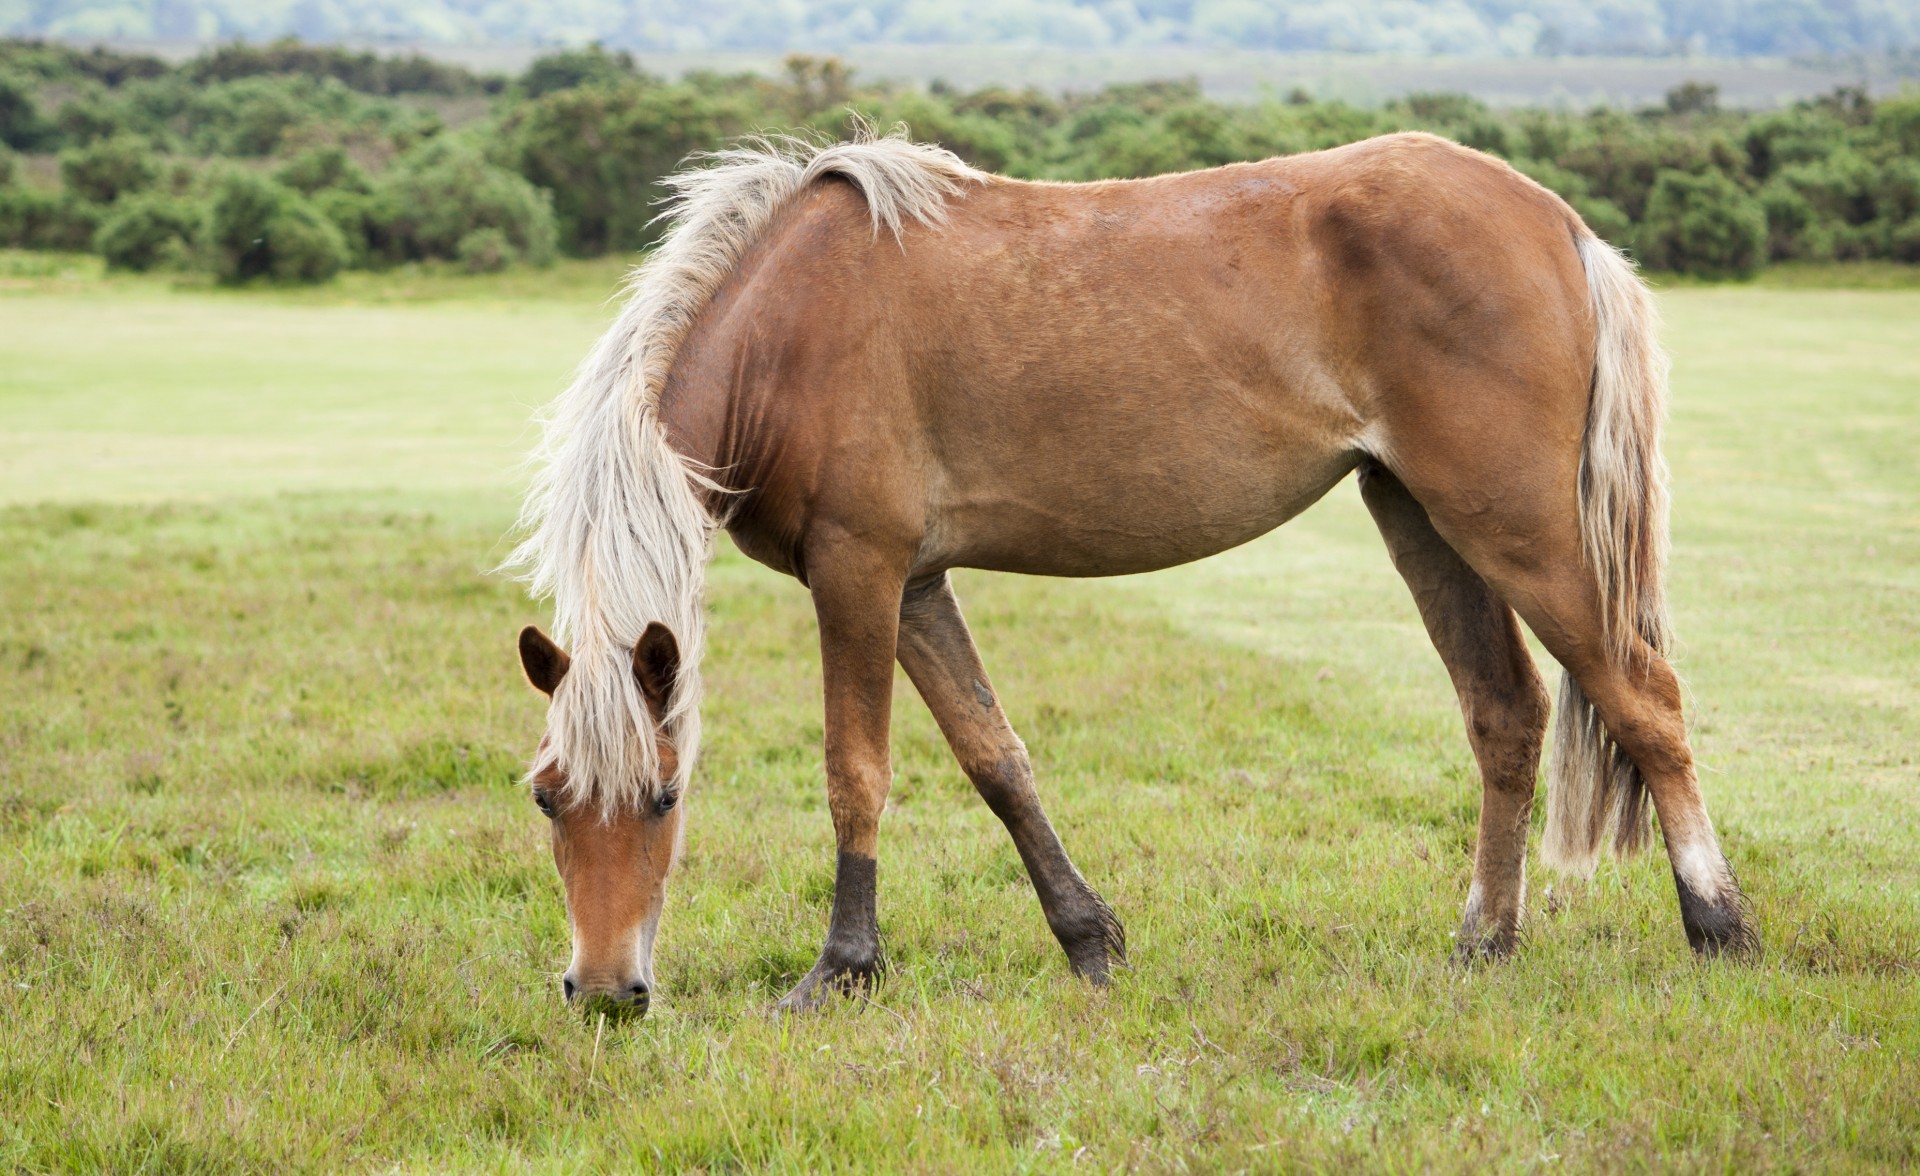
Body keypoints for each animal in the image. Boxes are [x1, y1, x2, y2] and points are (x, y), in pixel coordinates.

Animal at [506, 125, 1758, 1006]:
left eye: (665, 797)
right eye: (547, 797)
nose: (606, 991)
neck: (789, 327)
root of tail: (1556, 221)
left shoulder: (858, 572)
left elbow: (855, 772)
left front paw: (842, 971)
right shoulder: (917, 585)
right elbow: (996, 761)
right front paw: (1089, 941)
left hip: (1518, 530)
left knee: (1643, 698)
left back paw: (1720, 926)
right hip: (1421, 517)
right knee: (1506, 713)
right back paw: (1484, 943)